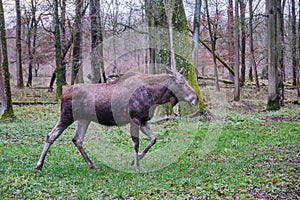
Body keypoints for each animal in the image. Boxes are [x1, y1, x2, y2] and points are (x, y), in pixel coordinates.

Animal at [35, 68, 199, 171]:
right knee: (51, 136)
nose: (195, 98)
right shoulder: (135, 119)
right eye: (180, 83)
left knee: (77, 139)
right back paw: (39, 165)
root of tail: (63, 94)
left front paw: (134, 161)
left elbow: (153, 139)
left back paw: (92, 165)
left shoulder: (143, 120)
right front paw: (137, 165)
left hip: (83, 120)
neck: (155, 96)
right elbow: (136, 143)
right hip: (67, 116)